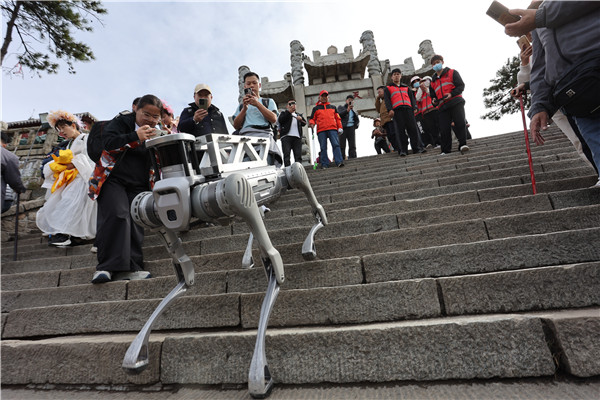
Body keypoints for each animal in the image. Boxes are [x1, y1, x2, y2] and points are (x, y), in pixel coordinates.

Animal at [122, 133, 328, 398]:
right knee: (268, 205)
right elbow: (183, 270)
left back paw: (314, 226)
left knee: (296, 172)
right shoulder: (148, 212)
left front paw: (260, 371)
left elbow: (273, 261)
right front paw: (137, 350)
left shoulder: (236, 190)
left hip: (279, 180)